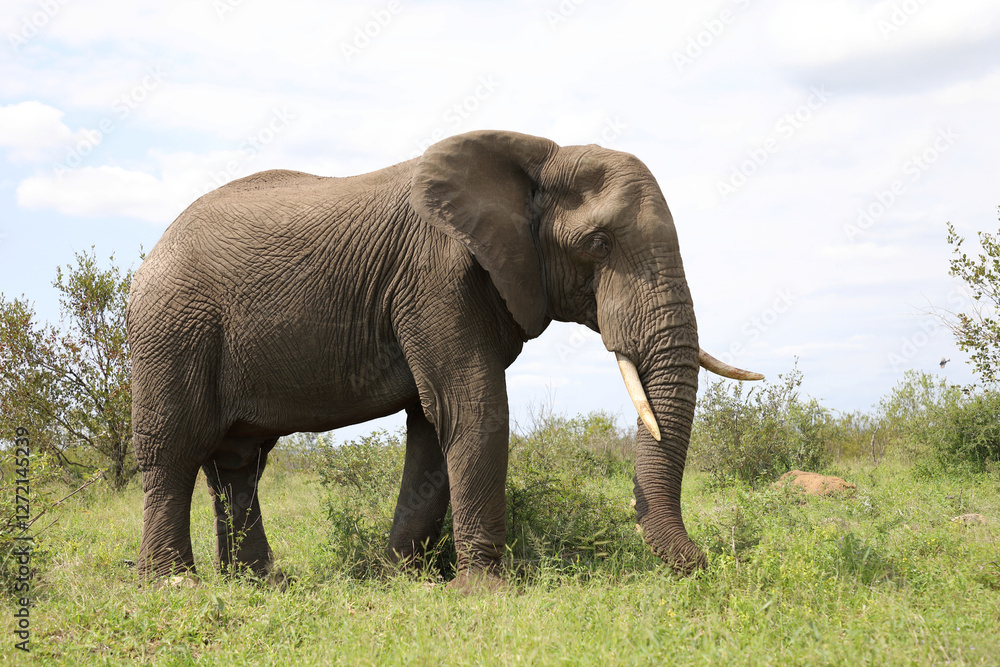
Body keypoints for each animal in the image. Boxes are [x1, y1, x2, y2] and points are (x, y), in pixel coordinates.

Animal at [127, 129, 762, 589]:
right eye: (598, 245)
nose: (710, 561)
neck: (535, 159)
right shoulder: (435, 277)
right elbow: (472, 409)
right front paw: (485, 592)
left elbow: (434, 427)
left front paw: (402, 582)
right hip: (173, 328)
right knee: (174, 450)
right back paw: (173, 585)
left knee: (238, 463)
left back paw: (258, 584)